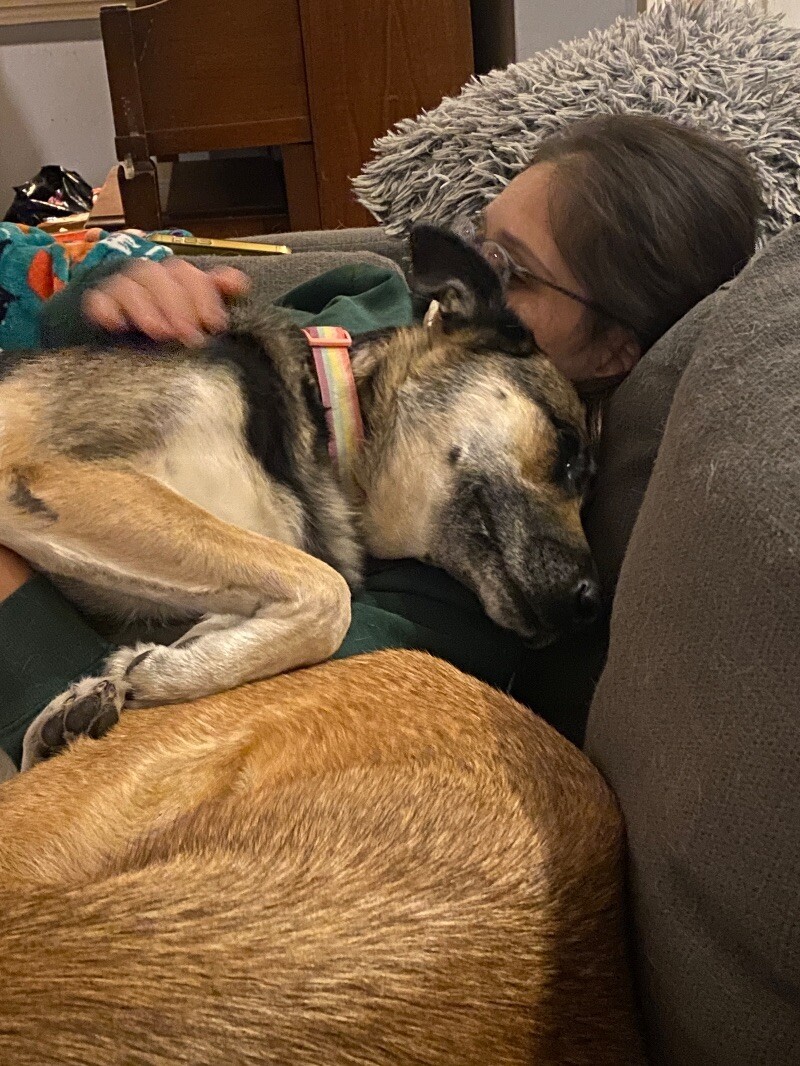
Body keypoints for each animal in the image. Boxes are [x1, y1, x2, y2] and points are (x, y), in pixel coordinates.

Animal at [0, 229, 601, 771]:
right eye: (568, 450)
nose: (591, 603)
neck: (326, 424)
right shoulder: (53, 475)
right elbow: (329, 590)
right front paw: (169, 669)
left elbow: (300, 593)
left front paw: (165, 662)